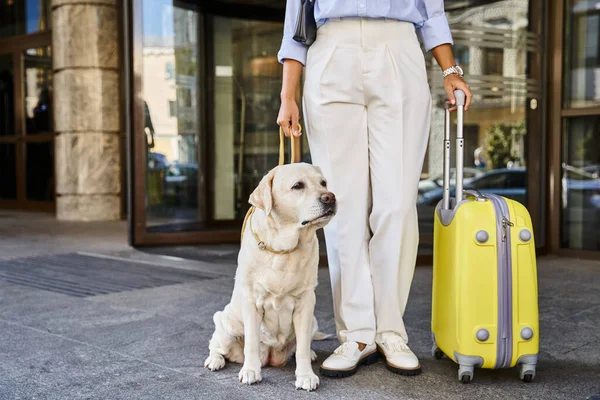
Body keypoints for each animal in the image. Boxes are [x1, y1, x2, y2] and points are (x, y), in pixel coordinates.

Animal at [205, 162, 338, 390]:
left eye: (323, 183)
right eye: (298, 185)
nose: (329, 197)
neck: (284, 249)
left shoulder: (306, 302)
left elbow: (302, 347)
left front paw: (305, 375)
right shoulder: (251, 302)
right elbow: (250, 342)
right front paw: (250, 371)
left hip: (312, 320)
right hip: (225, 322)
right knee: (216, 345)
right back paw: (215, 360)